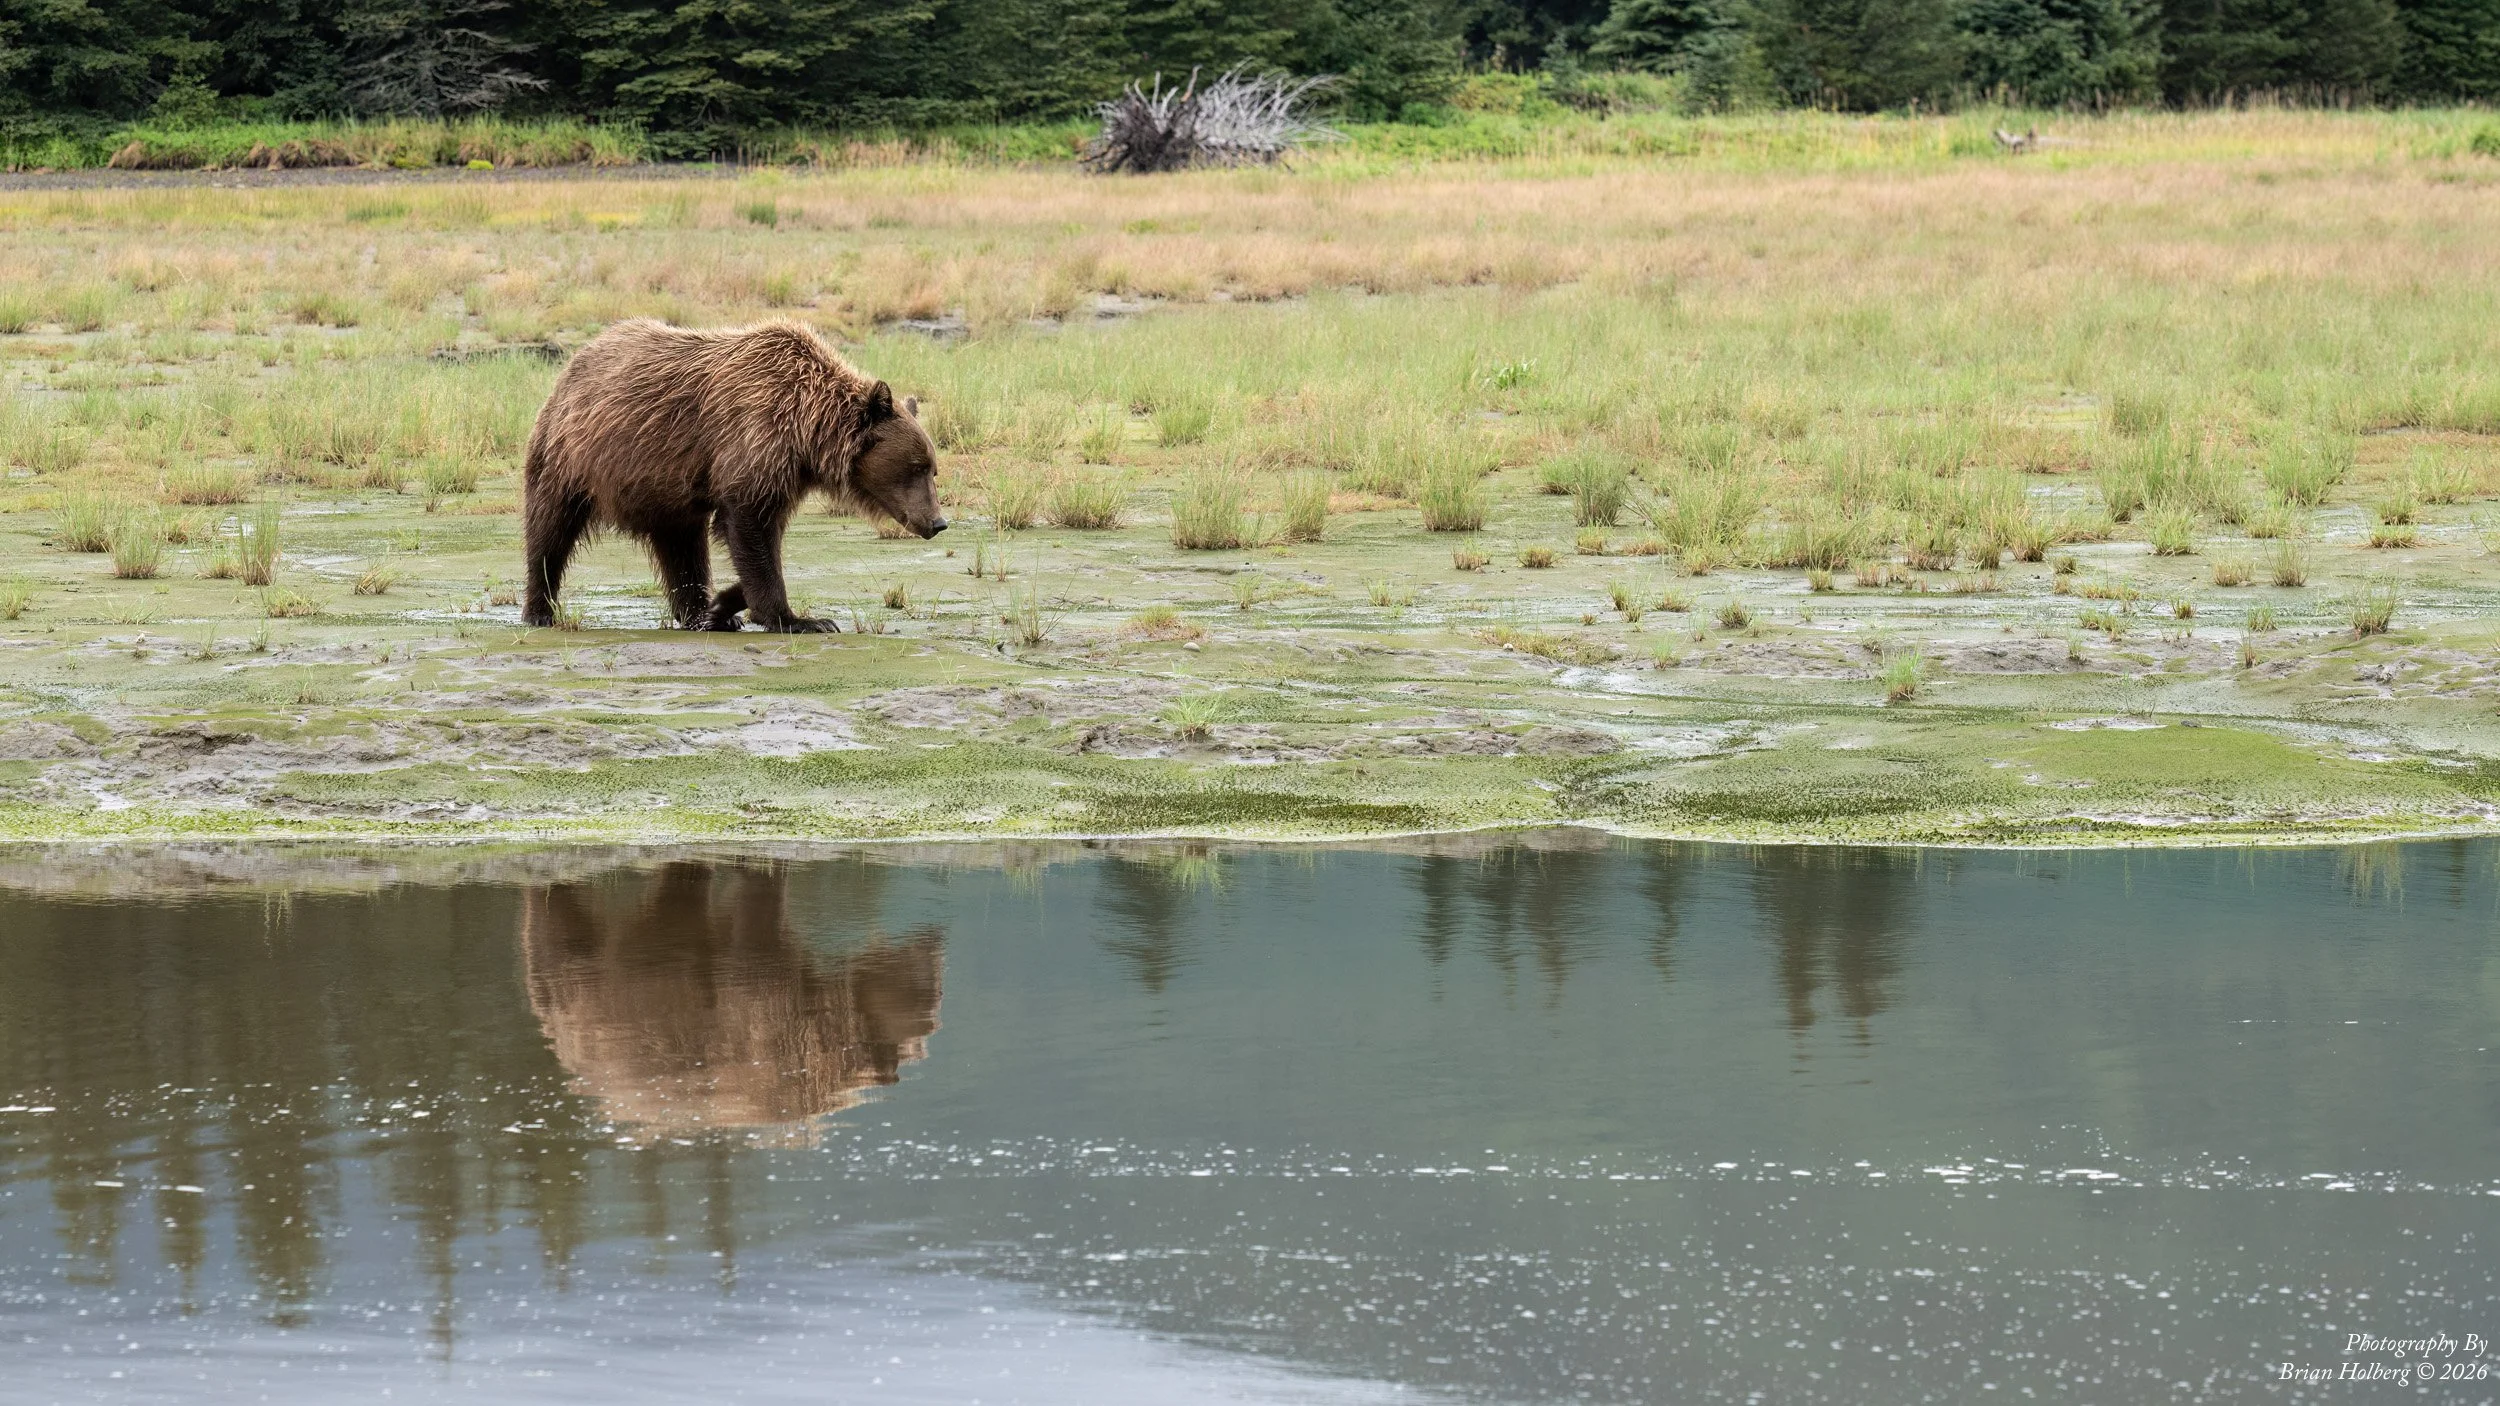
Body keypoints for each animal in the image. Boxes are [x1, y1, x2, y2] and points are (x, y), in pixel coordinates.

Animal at [520, 318, 946, 633]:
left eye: (932, 468)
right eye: (917, 467)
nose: (938, 522)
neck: (805, 430)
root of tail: (573, 363)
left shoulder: (783, 470)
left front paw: (722, 605)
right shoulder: (754, 441)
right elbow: (751, 527)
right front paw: (797, 618)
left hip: (665, 489)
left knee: (682, 547)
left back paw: (698, 614)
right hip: (570, 457)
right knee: (550, 529)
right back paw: (540, 609)